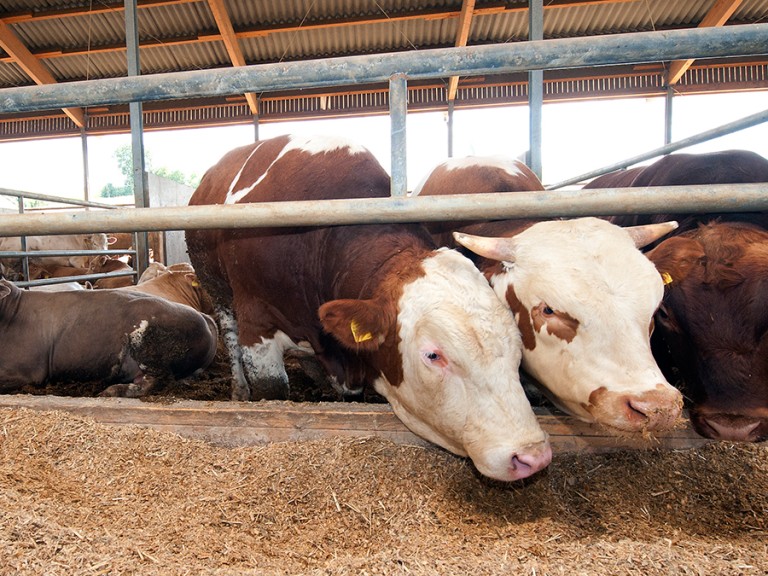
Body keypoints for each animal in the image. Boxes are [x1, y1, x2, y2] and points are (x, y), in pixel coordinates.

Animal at [186, 135, 552, 482]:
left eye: (516, 345)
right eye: (433, 355)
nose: (530, 455)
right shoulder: (258, 327)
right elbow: (272, 392)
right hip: (216, 288)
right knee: (229, 335)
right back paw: (239, 389)